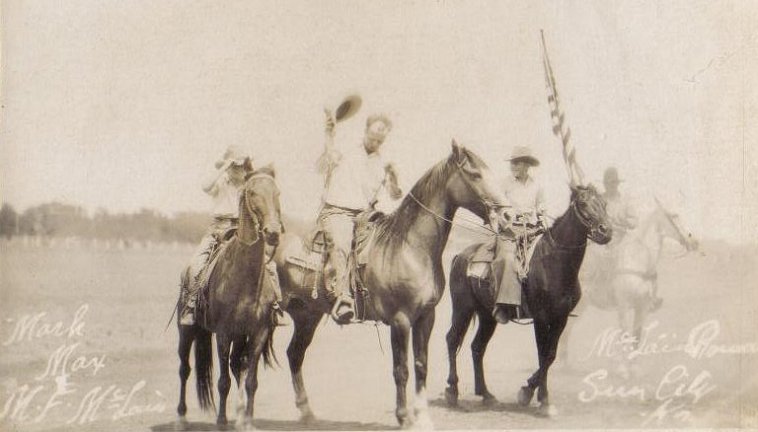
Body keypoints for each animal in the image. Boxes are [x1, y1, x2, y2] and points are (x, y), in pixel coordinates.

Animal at [175, 168, 284, 428]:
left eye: (277, 193)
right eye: (252, 193)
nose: (273, 233)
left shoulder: (258, 332)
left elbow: (251, 381)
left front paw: (248, 421)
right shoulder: (223, 333)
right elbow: (222, 381)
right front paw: (222, 419)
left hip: (239, 336)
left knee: (237, 366)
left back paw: (241, 411)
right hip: (187, 330)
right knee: (184, 368)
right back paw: (182, 414)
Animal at [274, 143, 510, 428]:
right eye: (475, 174)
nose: (508, 214)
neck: (409, 246)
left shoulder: (425, 317)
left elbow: (421, 365)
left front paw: (422, 414)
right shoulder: (400, 319)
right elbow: (401, 370)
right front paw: (403, 416)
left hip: (306, 315)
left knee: (294, 355)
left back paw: (307, 412)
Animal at [448, 184, 616, 416]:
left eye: (604, 203)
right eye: (583, 203)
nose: (605, 231)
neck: (554, 262)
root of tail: (460, 256)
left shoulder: (561, 319)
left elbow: (551, 355)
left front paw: (534, 393)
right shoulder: (541, 318)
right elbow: (543, 354)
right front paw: (536, 397)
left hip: (487, 316)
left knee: (477, 347)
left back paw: (486, 394)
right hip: (462, 309)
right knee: (452, 340)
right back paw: (452, 392)